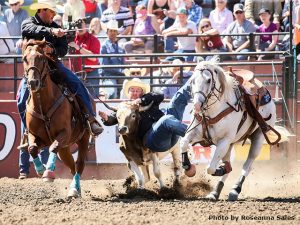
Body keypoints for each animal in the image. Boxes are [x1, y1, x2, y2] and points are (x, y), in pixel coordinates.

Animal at [22, 40, 89, 197]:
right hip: (65, 149)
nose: (33, 82)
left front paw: (48, 173)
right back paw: (76, 189)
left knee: (79, 165)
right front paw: (40, 169)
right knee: (72, 166)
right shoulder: (34, 135)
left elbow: (53, 146)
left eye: (41, 58)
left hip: (83, 139)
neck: (43, 104)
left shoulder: (64, 132)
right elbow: (32, 148)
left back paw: (74, 189)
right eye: (25, 59)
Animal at [180, 60, 286, 200]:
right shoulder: (196, 133)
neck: (213, 111)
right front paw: (188, 167)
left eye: (208, 80)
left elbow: (211, 168)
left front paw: (220, 169)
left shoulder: (224, 141)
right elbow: (183, 143)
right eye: (192, 81)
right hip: (231, 144)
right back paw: (215, 192)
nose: (197, 105)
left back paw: (235, 189)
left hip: (258, 138)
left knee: (247, 166)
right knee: (229, 164)